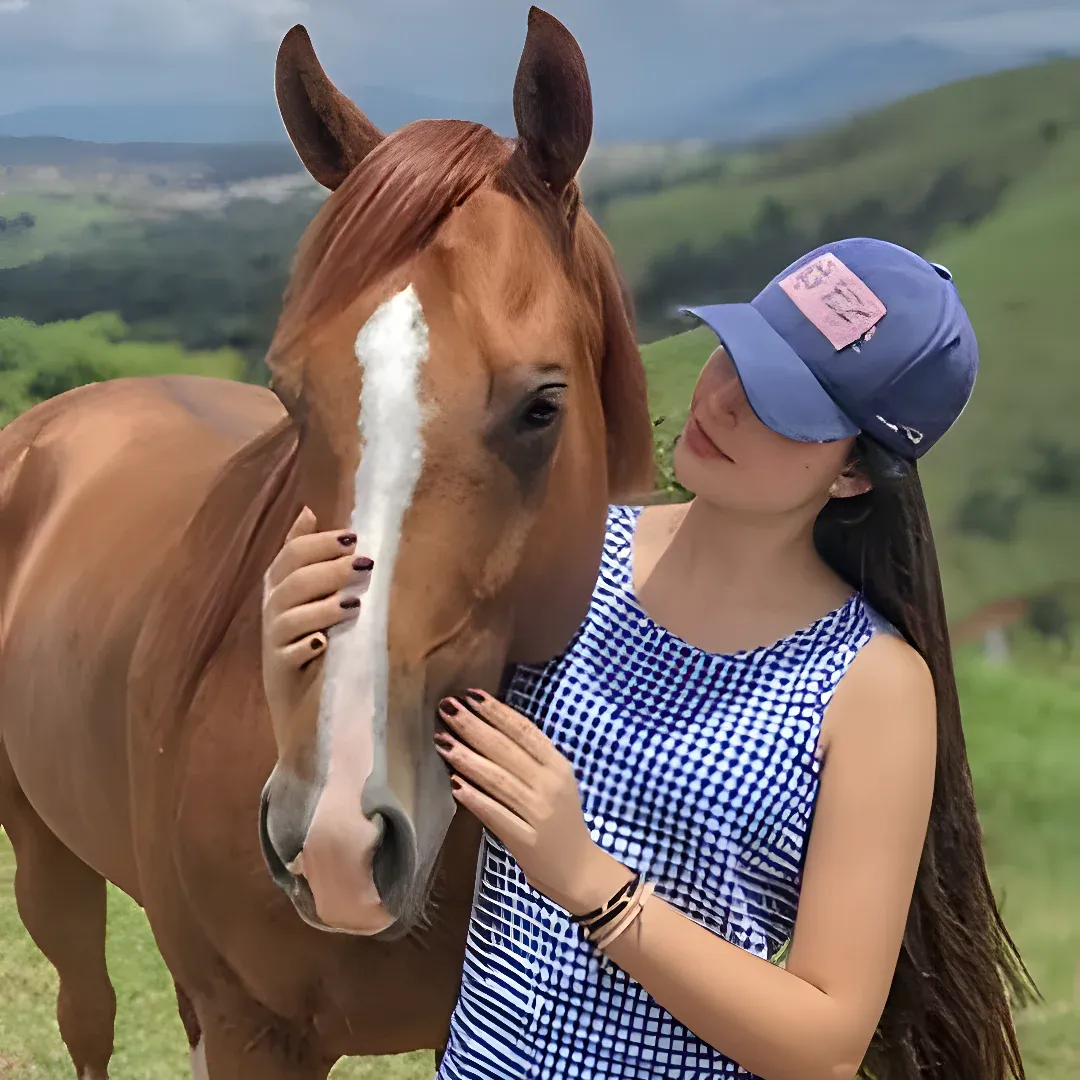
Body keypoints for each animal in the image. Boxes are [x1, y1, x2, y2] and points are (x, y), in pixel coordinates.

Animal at [0, 8, 654, 1078]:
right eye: (291, 395)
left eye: (543, 406)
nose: (339, 836)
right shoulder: (253, 1029)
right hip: (47, 859)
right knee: (86, 1014)